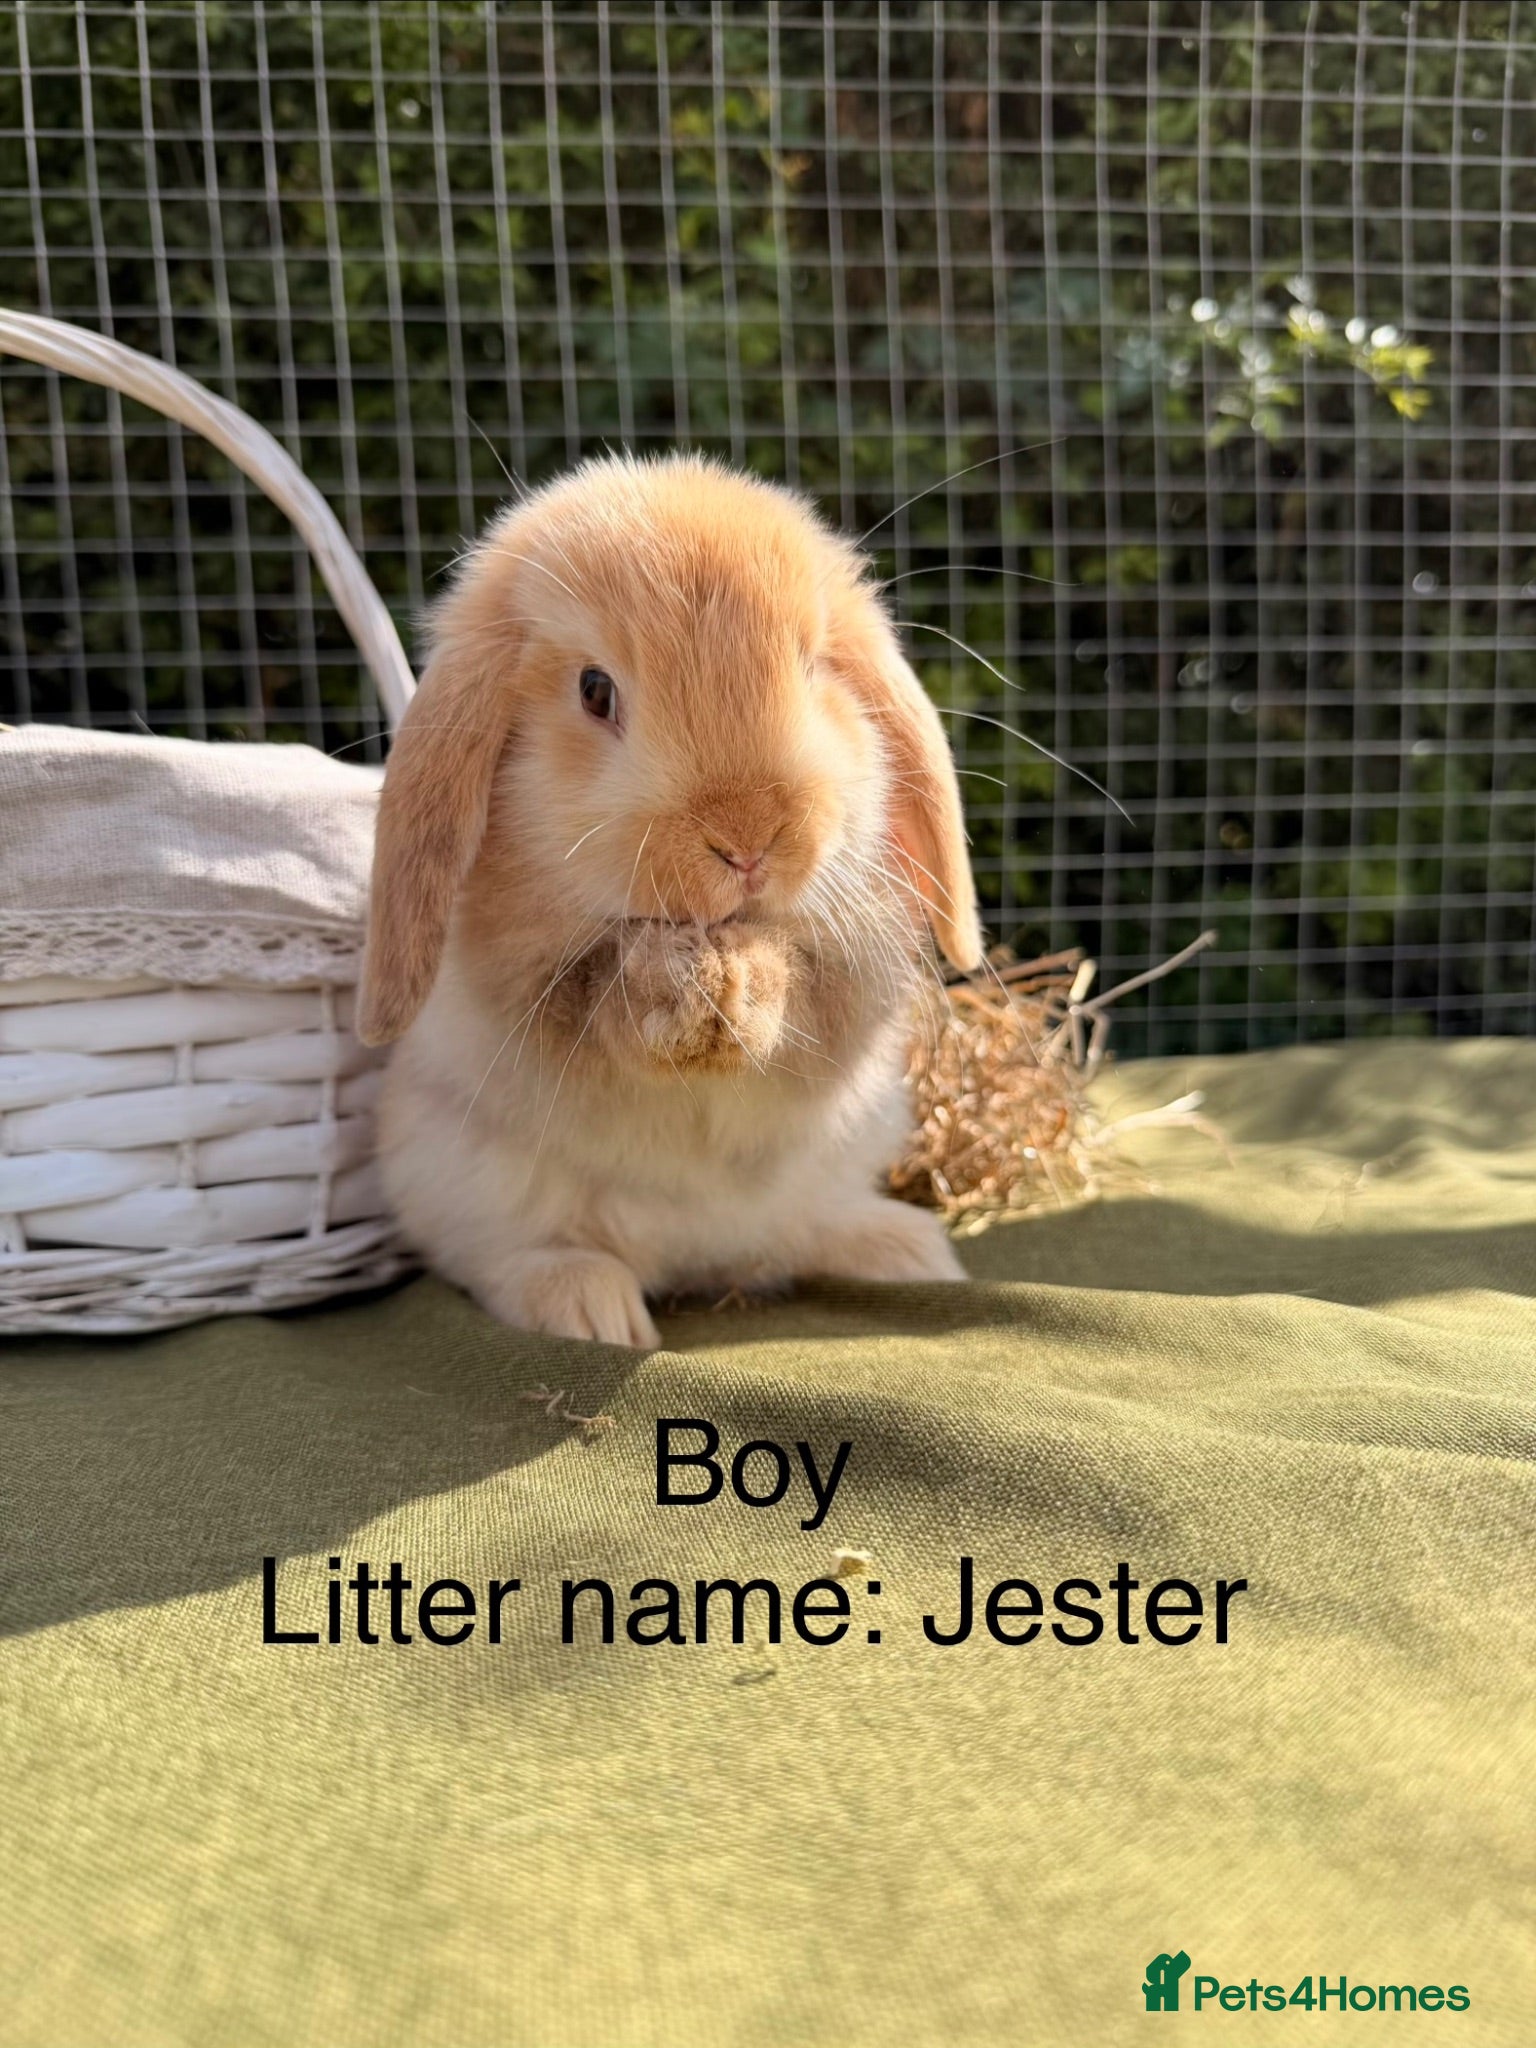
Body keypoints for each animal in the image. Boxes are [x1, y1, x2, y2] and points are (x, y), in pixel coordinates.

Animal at [357, 453, 983, 1347]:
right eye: (595, 690)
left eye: (814, 667)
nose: (748, 838)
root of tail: (704, 1264)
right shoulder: (530, 989)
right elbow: (597, 1009)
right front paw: (684, 992)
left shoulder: (847, 976)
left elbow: (803, 992)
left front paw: (743, 990)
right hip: (459, 1178)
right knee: (504, 1256)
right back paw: (589, 1308)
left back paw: (902, 1251)